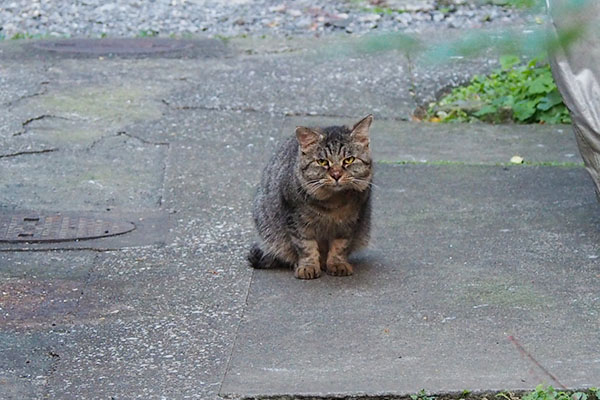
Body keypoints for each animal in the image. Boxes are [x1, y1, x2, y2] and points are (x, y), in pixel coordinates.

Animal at [246, 114, 372, 280]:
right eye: (322, 162)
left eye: (349, 160)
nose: (336, 175)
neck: (333, 203)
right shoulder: (296, 220)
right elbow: (305, 246)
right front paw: (308, 266)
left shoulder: (350, 223)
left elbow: (340, 246)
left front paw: (337, 263)